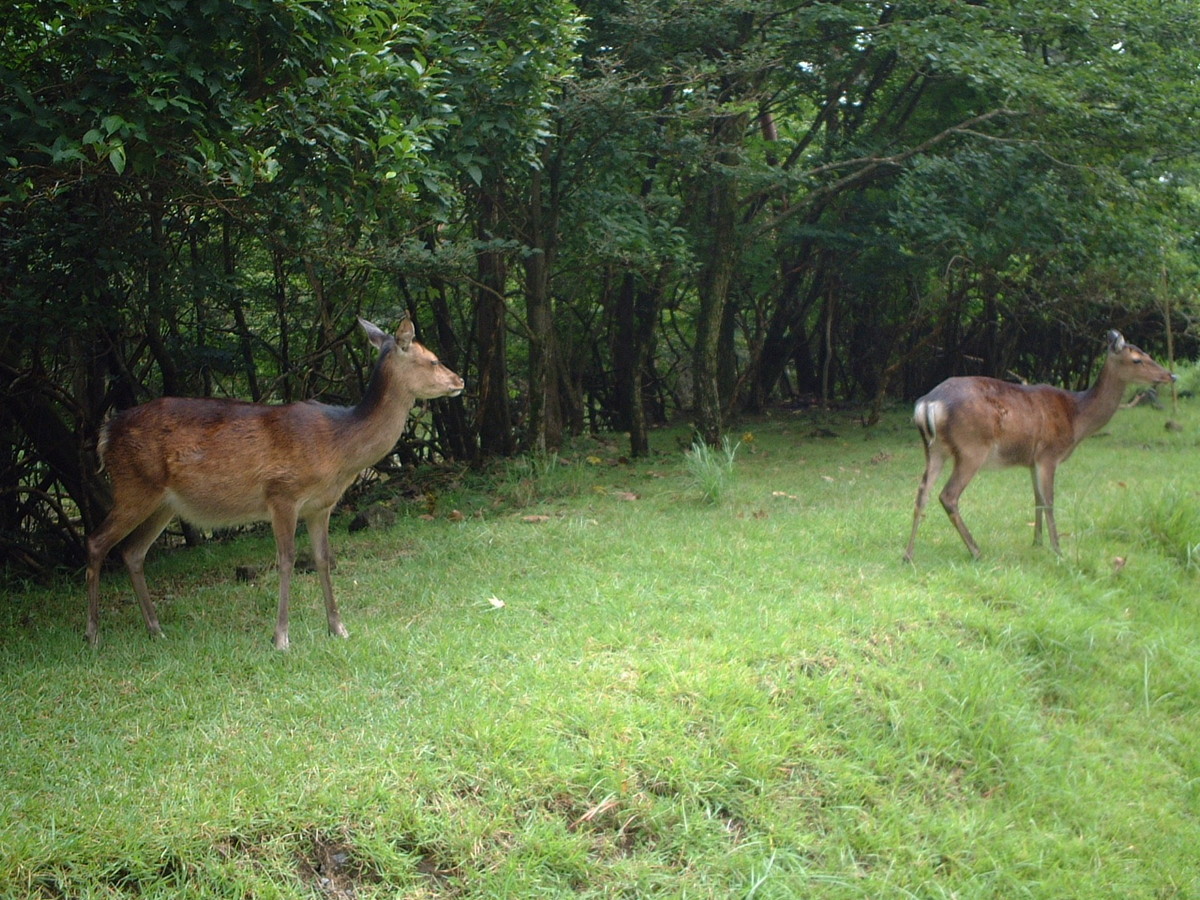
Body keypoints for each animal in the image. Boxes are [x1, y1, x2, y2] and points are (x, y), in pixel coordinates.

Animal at [84, 321, 463, 652]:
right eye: (432, 359)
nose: (459, 379)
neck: (339, 448)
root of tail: (105, 434)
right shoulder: (282, 494)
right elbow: (287, 559)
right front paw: (281, 638)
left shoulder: (322, 505)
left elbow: (324, 558)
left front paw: (338, 628)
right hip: (132, 486)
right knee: (97, 541)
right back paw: (93, 635)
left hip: (163, 503)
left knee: (132, 551)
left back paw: (155, 629)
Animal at [907, 331, 1171, 564]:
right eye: (1137, 359)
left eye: (1148, 353)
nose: (1170, 375)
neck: (1077, 419)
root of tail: (928, 403)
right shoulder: (1049, 454)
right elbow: (1049, 500)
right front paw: (1058, 549)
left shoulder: (1032, 461)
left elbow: (1037, 497)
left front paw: (1037, 543)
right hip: (972, 448)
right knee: (948, 495)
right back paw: (976, 550)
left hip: (934, 450)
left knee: (922, 493)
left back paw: (908, 555)